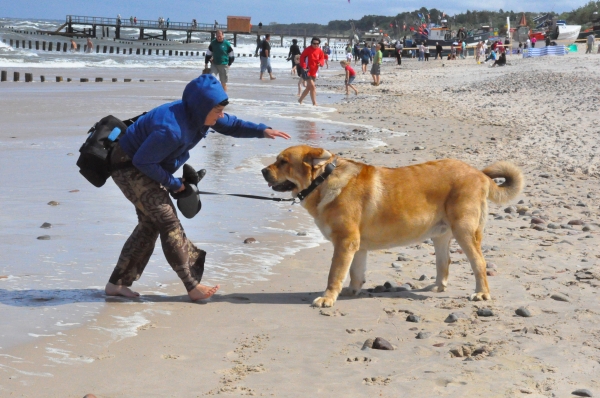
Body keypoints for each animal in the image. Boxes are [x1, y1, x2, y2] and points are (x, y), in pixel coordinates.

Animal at [260, 145, 524, 306]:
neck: (322, 181)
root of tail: (481, 175)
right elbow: (355, 273)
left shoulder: (345, 242)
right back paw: (436, 286)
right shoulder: (357, 247)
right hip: (440, 236)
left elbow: (334, 274)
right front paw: (351, 291)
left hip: (465, 232)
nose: (262, 170)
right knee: (444, 263)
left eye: (283, 161)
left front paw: (327, 298)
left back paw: (482, 293)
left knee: (479, 263)